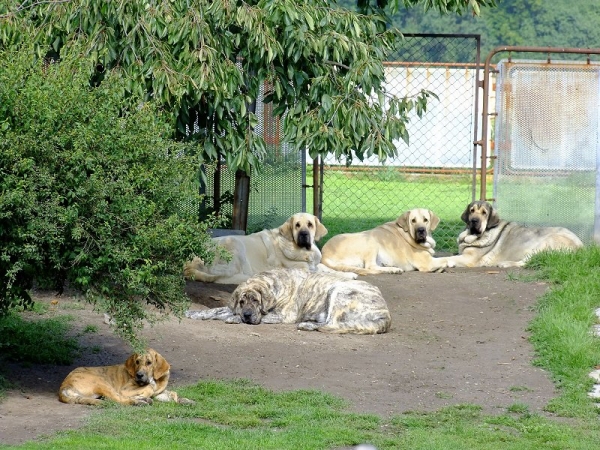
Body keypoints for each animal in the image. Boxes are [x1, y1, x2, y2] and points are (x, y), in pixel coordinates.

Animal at [57, 348, 191, 408]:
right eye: (137, 362)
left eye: (149, 362)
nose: (139, 375)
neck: (154, 380)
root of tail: (64, 386)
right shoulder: (125, 390)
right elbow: (149, 389)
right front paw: (145, 393)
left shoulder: (160, 392)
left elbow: (173, 393)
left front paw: (186, 400)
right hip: (102, 381)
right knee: (119, 399)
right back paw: (139, 401)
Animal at [184, 213, 342, 284]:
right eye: (297, 225)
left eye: (310, 224)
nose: (304, 234)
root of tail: (186, 265)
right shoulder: (300, 268)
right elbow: (320, 272)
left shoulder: (314, 265)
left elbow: (327, 269)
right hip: (235, 243)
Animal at [188, 268, 394, 334]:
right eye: (242, 302)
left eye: (256, 300)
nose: (246, 315)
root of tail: (386, 315)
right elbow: (216, 310)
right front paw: (194, 313)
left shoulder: (282, 316)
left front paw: (234, 319)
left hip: (339, 291)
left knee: (332, 324)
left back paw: (307, 325)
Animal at [438, 200, 584, 268]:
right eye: (472, 210)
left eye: (484, 213)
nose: (474, 220)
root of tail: (581, 248)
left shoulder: (470, 258)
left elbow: (446, 258)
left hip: (545, 243)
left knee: (528, 262)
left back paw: (505, 264)